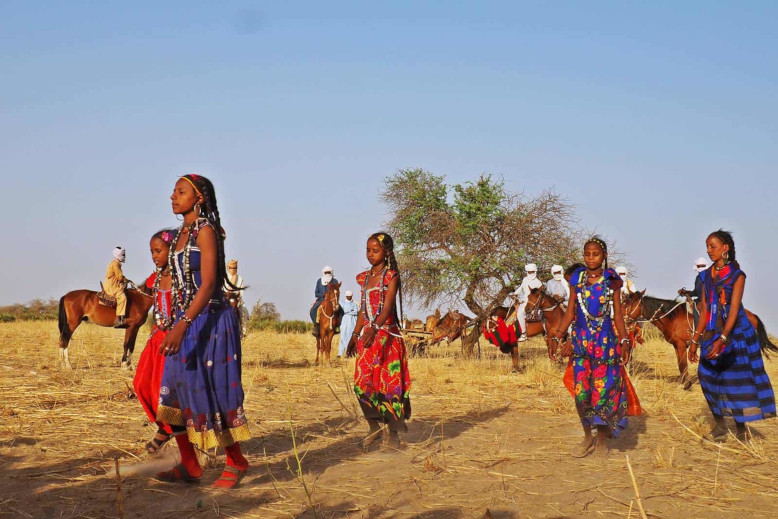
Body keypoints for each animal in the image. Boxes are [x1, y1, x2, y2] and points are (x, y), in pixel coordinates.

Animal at [620, 292, 776, 390]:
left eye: (627, 304)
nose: (620, 317)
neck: (672, 317)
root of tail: (752, 315)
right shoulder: (677, 346)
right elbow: (681, 365)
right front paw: (683, 383)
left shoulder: (681, 345)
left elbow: (683, 365)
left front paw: (686, 385)